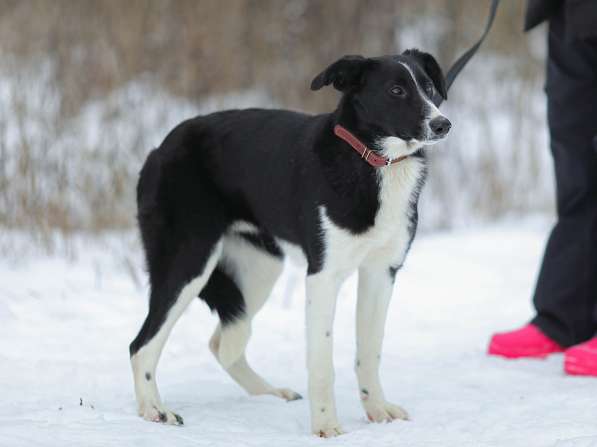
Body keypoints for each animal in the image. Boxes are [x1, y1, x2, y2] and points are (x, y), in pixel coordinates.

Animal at [129, 48, 448, 438]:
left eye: (429, 87)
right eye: (396, 91)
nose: (443, 124)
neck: (372, 162)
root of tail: (159, 149)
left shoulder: (381, 271)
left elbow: (369, 351)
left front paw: (377, 410)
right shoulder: (323, 276)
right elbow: (322, 361)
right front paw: (326, 425)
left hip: (259, 269)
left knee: (223, 344)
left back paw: (268, 394)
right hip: (188, 261)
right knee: (142, 345)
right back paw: (154, 410)